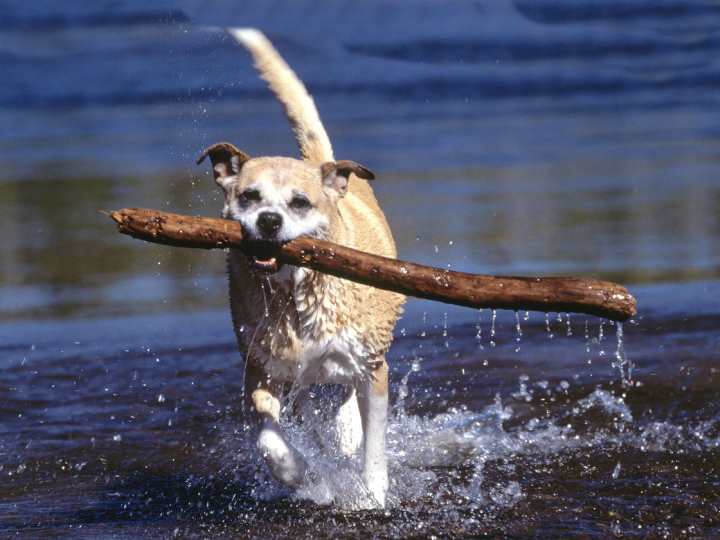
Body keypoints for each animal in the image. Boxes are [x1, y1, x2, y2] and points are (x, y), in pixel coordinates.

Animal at [197, 27, 404, 504]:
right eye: (248, 196)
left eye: (299, 203)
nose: (269, 221)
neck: (294, 292)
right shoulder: (262, 369)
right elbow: (269, 437)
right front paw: (302, 474)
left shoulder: (373, 369)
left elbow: (374, 442)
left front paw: (371, 493)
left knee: (347, 401)